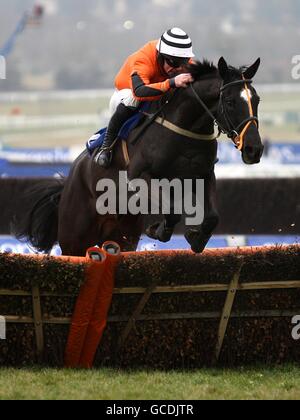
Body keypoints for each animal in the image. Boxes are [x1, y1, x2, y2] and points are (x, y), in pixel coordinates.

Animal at [14, 57, 262, 256]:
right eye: (230, 101)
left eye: (257, 100)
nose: (254, 149)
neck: (184, 128)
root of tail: (69, 179)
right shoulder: (140, 177)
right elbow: (172, 211)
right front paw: (158, 230)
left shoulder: (203, 174)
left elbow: (212, 217)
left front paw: (196, 239)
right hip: (75, 237)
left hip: (123, 236)